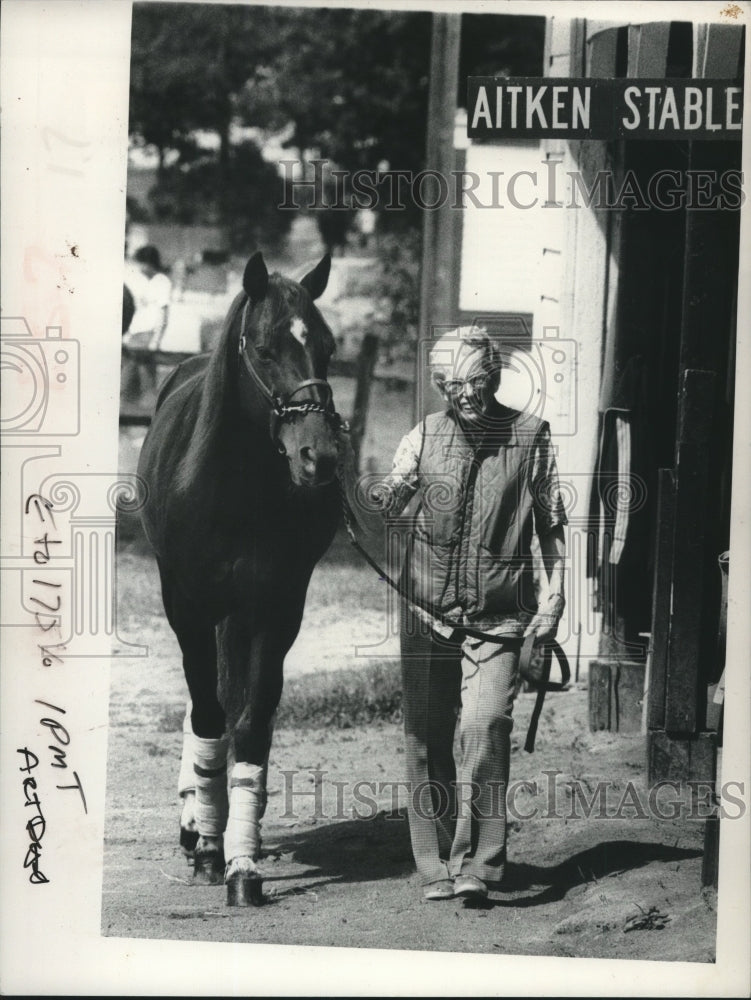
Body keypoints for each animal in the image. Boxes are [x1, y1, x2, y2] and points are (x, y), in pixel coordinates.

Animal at [137, 250, 342, 908]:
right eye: (268, 347)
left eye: (327, 348)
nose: (319, 457)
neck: (229, 489)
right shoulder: (187, 606)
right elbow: (208, 717)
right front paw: (207, 846)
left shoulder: (276, 609)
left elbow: (249, 725)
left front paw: (242, 864)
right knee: (204, 706)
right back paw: (195, 826)